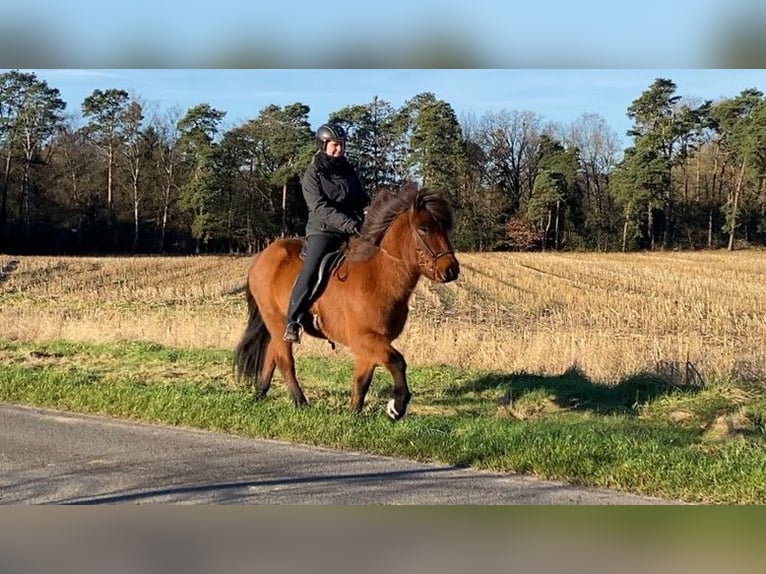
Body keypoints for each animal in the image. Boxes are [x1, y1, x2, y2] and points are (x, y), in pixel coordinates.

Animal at [234, 182, 462, 420]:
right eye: (423, 229)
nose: (451, 270)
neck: (378, 276)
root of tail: (261, 258)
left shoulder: (371, 343)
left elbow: (362, 380)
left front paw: (354, 412)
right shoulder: (364, 338)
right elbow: (398, 362)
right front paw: (397, 406)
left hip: (276, 326)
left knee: (273, 354)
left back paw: (260, 393)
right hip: (277, 321)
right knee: (285, 361)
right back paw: (300, 402)